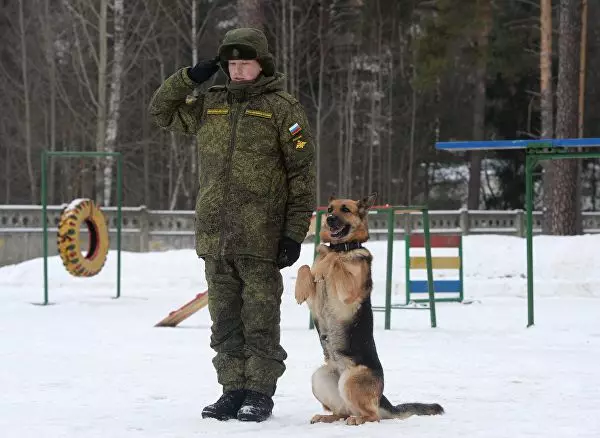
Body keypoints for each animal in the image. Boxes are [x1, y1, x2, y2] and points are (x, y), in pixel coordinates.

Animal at [292, 193, 442, 426]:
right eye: (329, 209)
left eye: (345, 209)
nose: (329, 219)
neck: (344, 246)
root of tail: (382, 399)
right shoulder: (314, 301)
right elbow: (306, 266)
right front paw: (302, 286)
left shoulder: (348, 290)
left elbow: (334, 260)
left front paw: (328, 259)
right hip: (320, 377)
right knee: (343, 411)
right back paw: (327, 417)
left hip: (351, 379)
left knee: (372, 416)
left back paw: (358, 419)